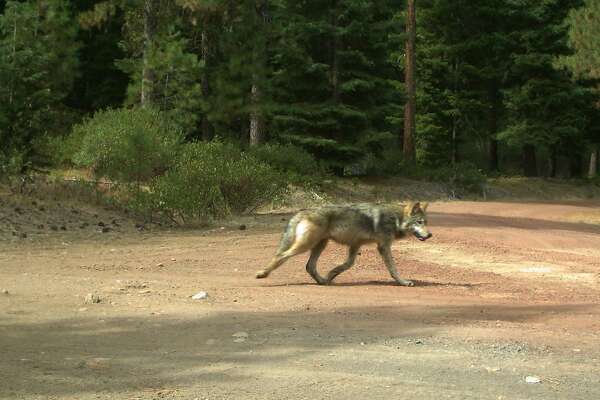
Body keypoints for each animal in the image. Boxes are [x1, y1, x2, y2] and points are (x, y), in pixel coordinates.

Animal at [253, 202, 432, 286]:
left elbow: (347, 264)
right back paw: (262, 274)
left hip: (320, 244)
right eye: (420, 222)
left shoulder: (356, 245)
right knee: (281, 256)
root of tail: (301, 212)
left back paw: (323, 281)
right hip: (306, 245)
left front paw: (331, 274)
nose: (430, 234)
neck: (396, 219)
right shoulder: (383, 246)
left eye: (425, 222)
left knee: (309, 266)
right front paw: (403, 282)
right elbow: (393, 269)